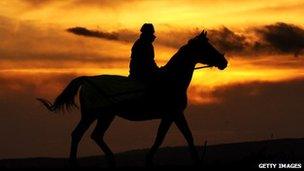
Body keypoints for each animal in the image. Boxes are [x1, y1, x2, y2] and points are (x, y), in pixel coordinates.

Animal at [36, 30, 227, 167]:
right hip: (95, 115)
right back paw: (80, 162)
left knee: (91, 135)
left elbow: (170, 136)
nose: (224, 62)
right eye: (208, 47)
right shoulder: (173, 113)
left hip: (102, 116)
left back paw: (107, 161)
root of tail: (87, 80)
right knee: (82, 134)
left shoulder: (170, 115)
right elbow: (178, 136)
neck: (171, 80)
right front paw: (195, 160)